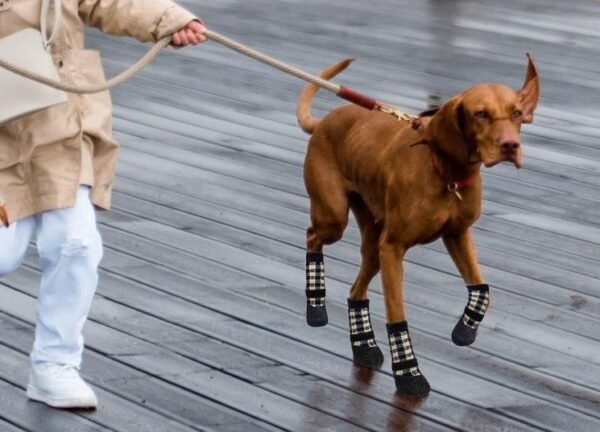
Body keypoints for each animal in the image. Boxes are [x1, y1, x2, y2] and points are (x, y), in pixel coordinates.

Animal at [298, 55, 540, 396]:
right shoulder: (393, 249)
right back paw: (316, 306)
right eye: (480, 114)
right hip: (335, 219)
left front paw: (465, 329)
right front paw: (408, 374)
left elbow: (482, 289)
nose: (510, 145)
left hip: (373, 245)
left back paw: (364, 346)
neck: (447, 173)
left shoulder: (458, 235)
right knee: (312, 237)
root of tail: (322, 123)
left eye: (516, 113)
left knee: (356, 290)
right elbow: (397, 316)